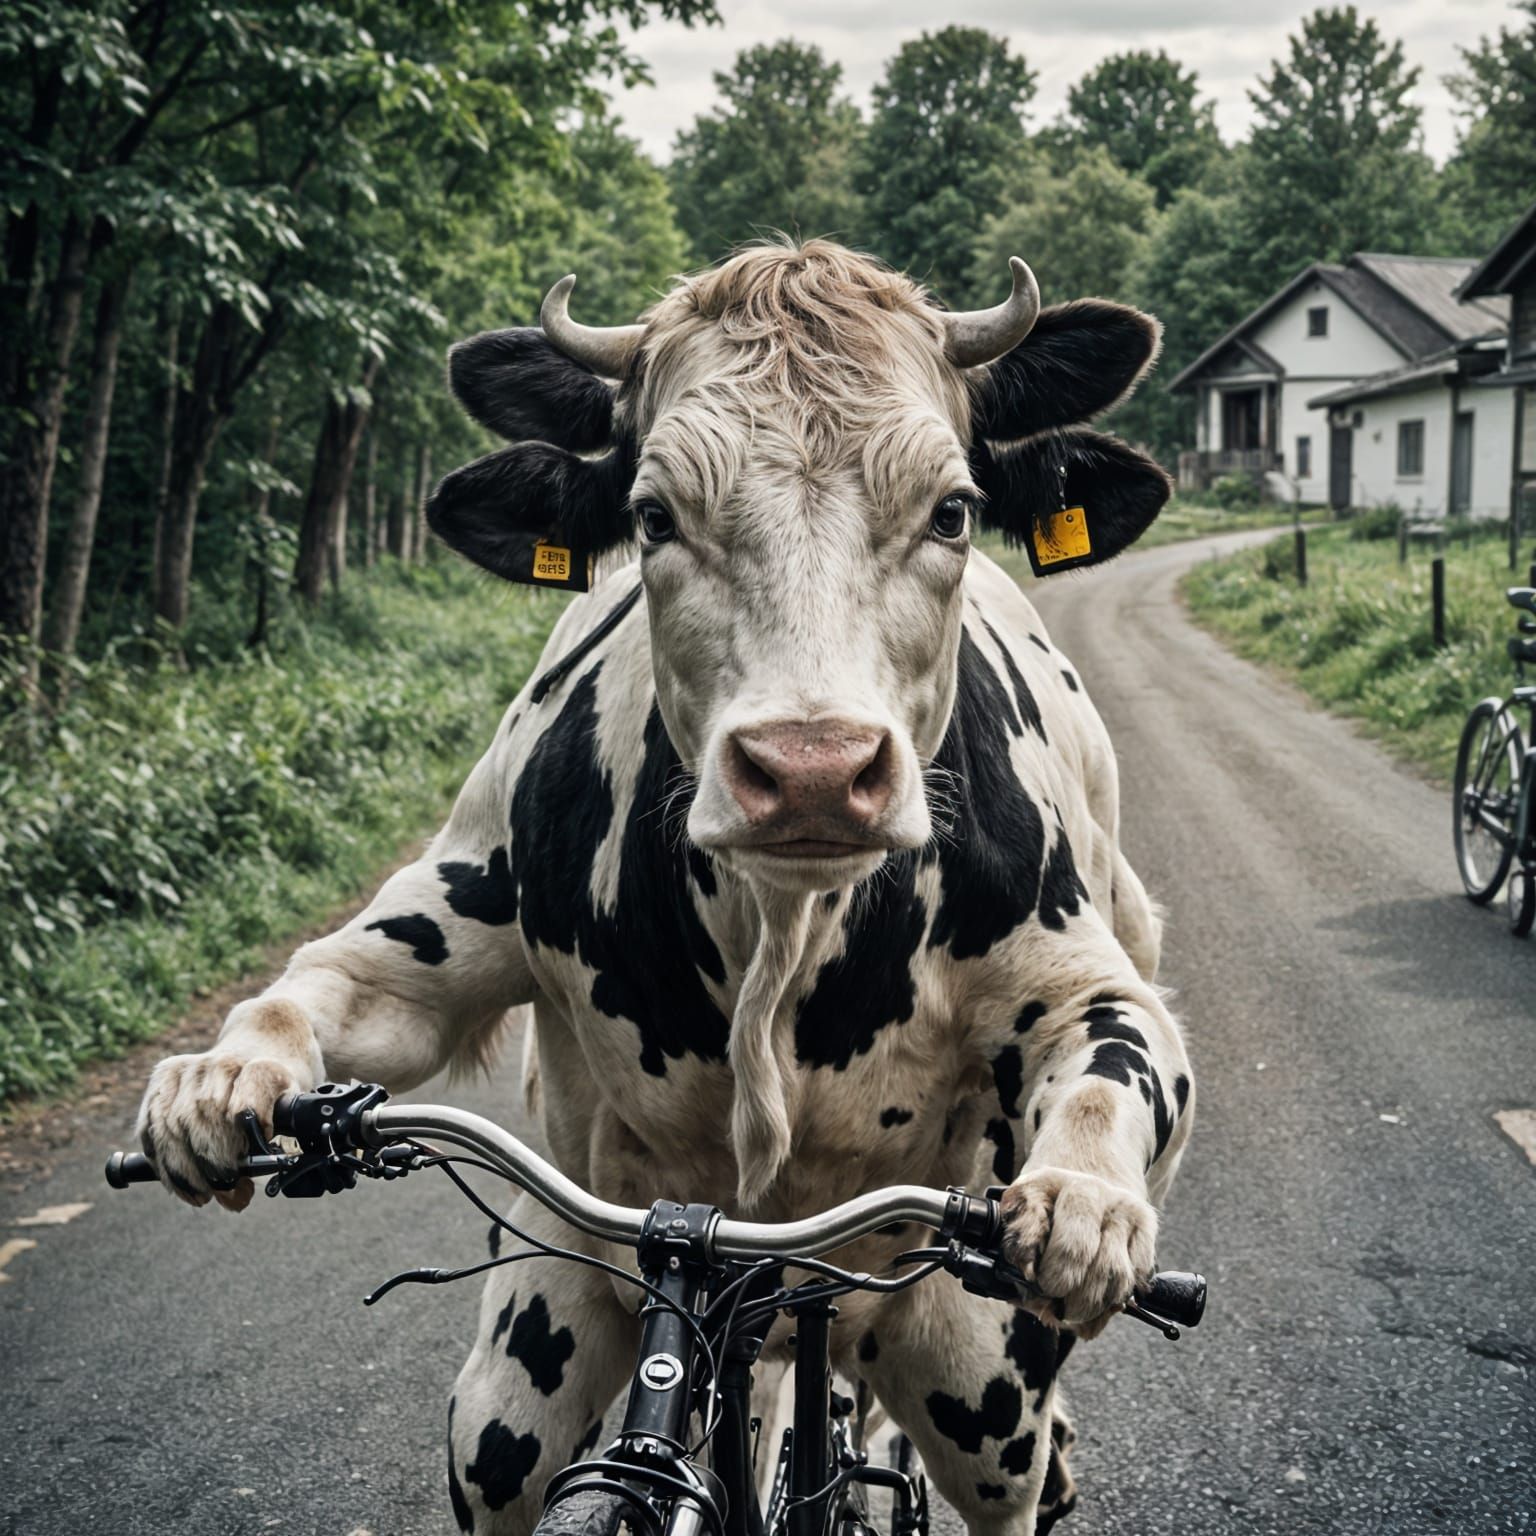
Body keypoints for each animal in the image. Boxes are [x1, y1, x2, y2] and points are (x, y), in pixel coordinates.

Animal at [136, 240, 1193, 1536]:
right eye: (652, 515)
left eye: (951, 509)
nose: (811, 769)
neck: (781, 935)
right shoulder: (451, 916)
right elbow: (324, 984)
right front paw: (218, 1083)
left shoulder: (1084, 989)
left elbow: (1116, 1057)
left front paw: (1084, 1211)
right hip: (540, 1334)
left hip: (975, 1379)